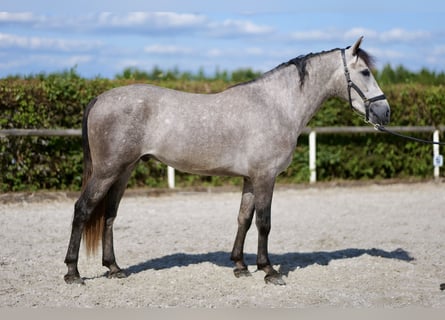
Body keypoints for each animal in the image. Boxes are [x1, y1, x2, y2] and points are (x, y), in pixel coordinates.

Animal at [62, 37, 388, 284]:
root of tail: (100, 98)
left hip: (123, 171)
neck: (276, 105)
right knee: (82, 209)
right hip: (107, 172)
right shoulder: (265, 177)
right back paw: (73, 272)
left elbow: (244, 218)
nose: (384, 113)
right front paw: (268, 270)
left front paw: (240, 266)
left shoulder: (250, 179)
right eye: (365, 73)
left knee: (109, 215)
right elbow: (264, 222)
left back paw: (114, 268)